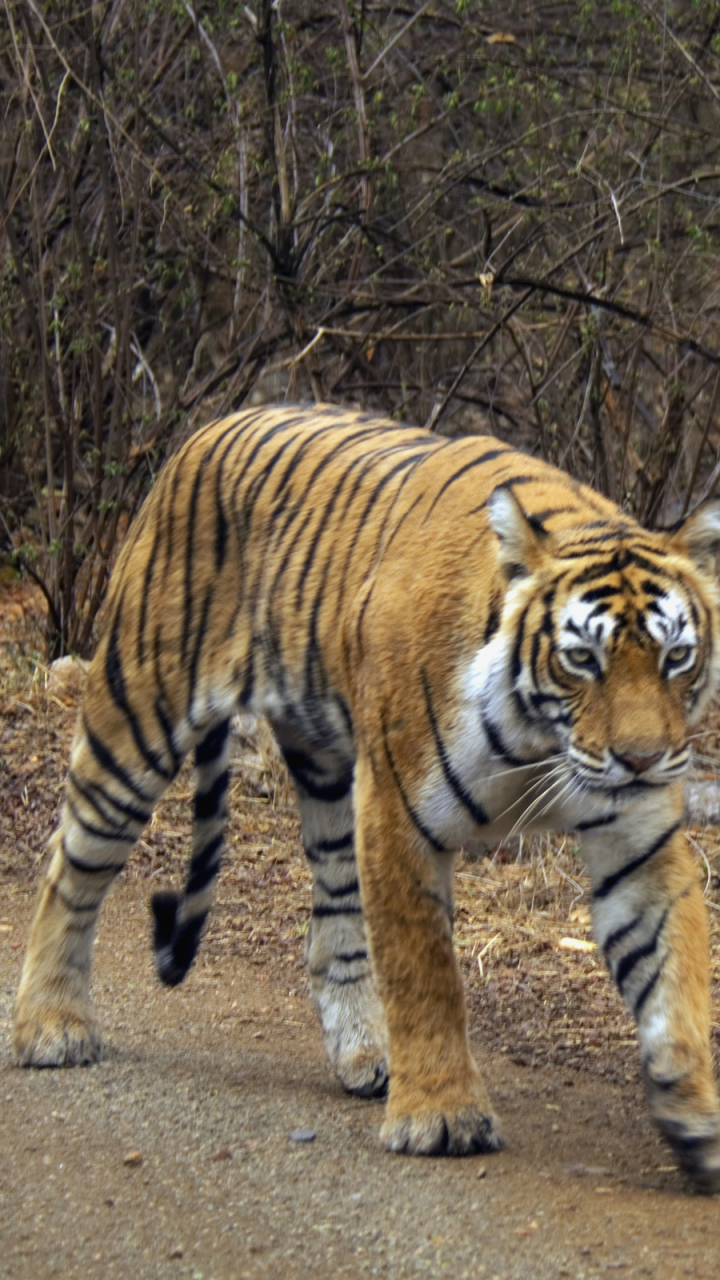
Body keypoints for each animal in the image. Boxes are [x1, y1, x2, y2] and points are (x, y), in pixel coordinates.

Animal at [12, 401, 720, 1187]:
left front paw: (696, 1116)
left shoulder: (638, 841)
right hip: (135, 716)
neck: (540, 742)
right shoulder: (400, 813)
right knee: (71, 867)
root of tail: (211, 426)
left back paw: (367, 1054)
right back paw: (51, 1027)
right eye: (582, 659)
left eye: (676, 656)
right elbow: (423, 971)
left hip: (328, 768)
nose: (642, 760)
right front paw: (440, 1115)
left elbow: (675, 978)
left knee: (332, 919)